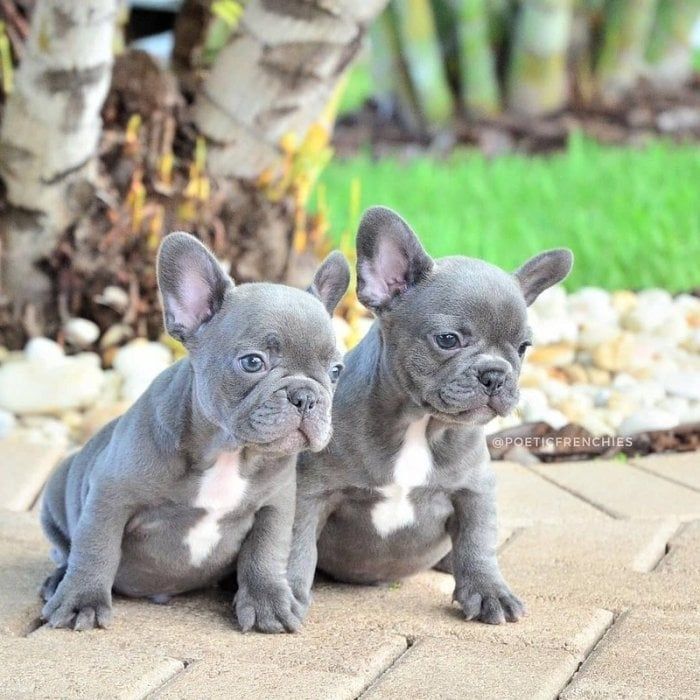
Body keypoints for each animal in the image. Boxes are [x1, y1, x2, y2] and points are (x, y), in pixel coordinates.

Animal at [38, 231, 350, 636]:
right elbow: (95, 547)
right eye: (253, 362)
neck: (228, 452)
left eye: (336, 371)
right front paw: (81, 601)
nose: (306, 396)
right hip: (56, 489)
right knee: (66, 548)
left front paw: (268, 602)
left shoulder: (276, 506)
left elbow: (266, 553)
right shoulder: (110, 496)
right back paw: (56, 582)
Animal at [288, 206, 572, 624]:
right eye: (448, 339)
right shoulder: (311, 493)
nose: (496, 373)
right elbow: (296, 546)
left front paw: (489, 591)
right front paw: (285, 591)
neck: (418, 426)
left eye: (523, 347)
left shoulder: (474, 492)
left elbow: (477, 542)